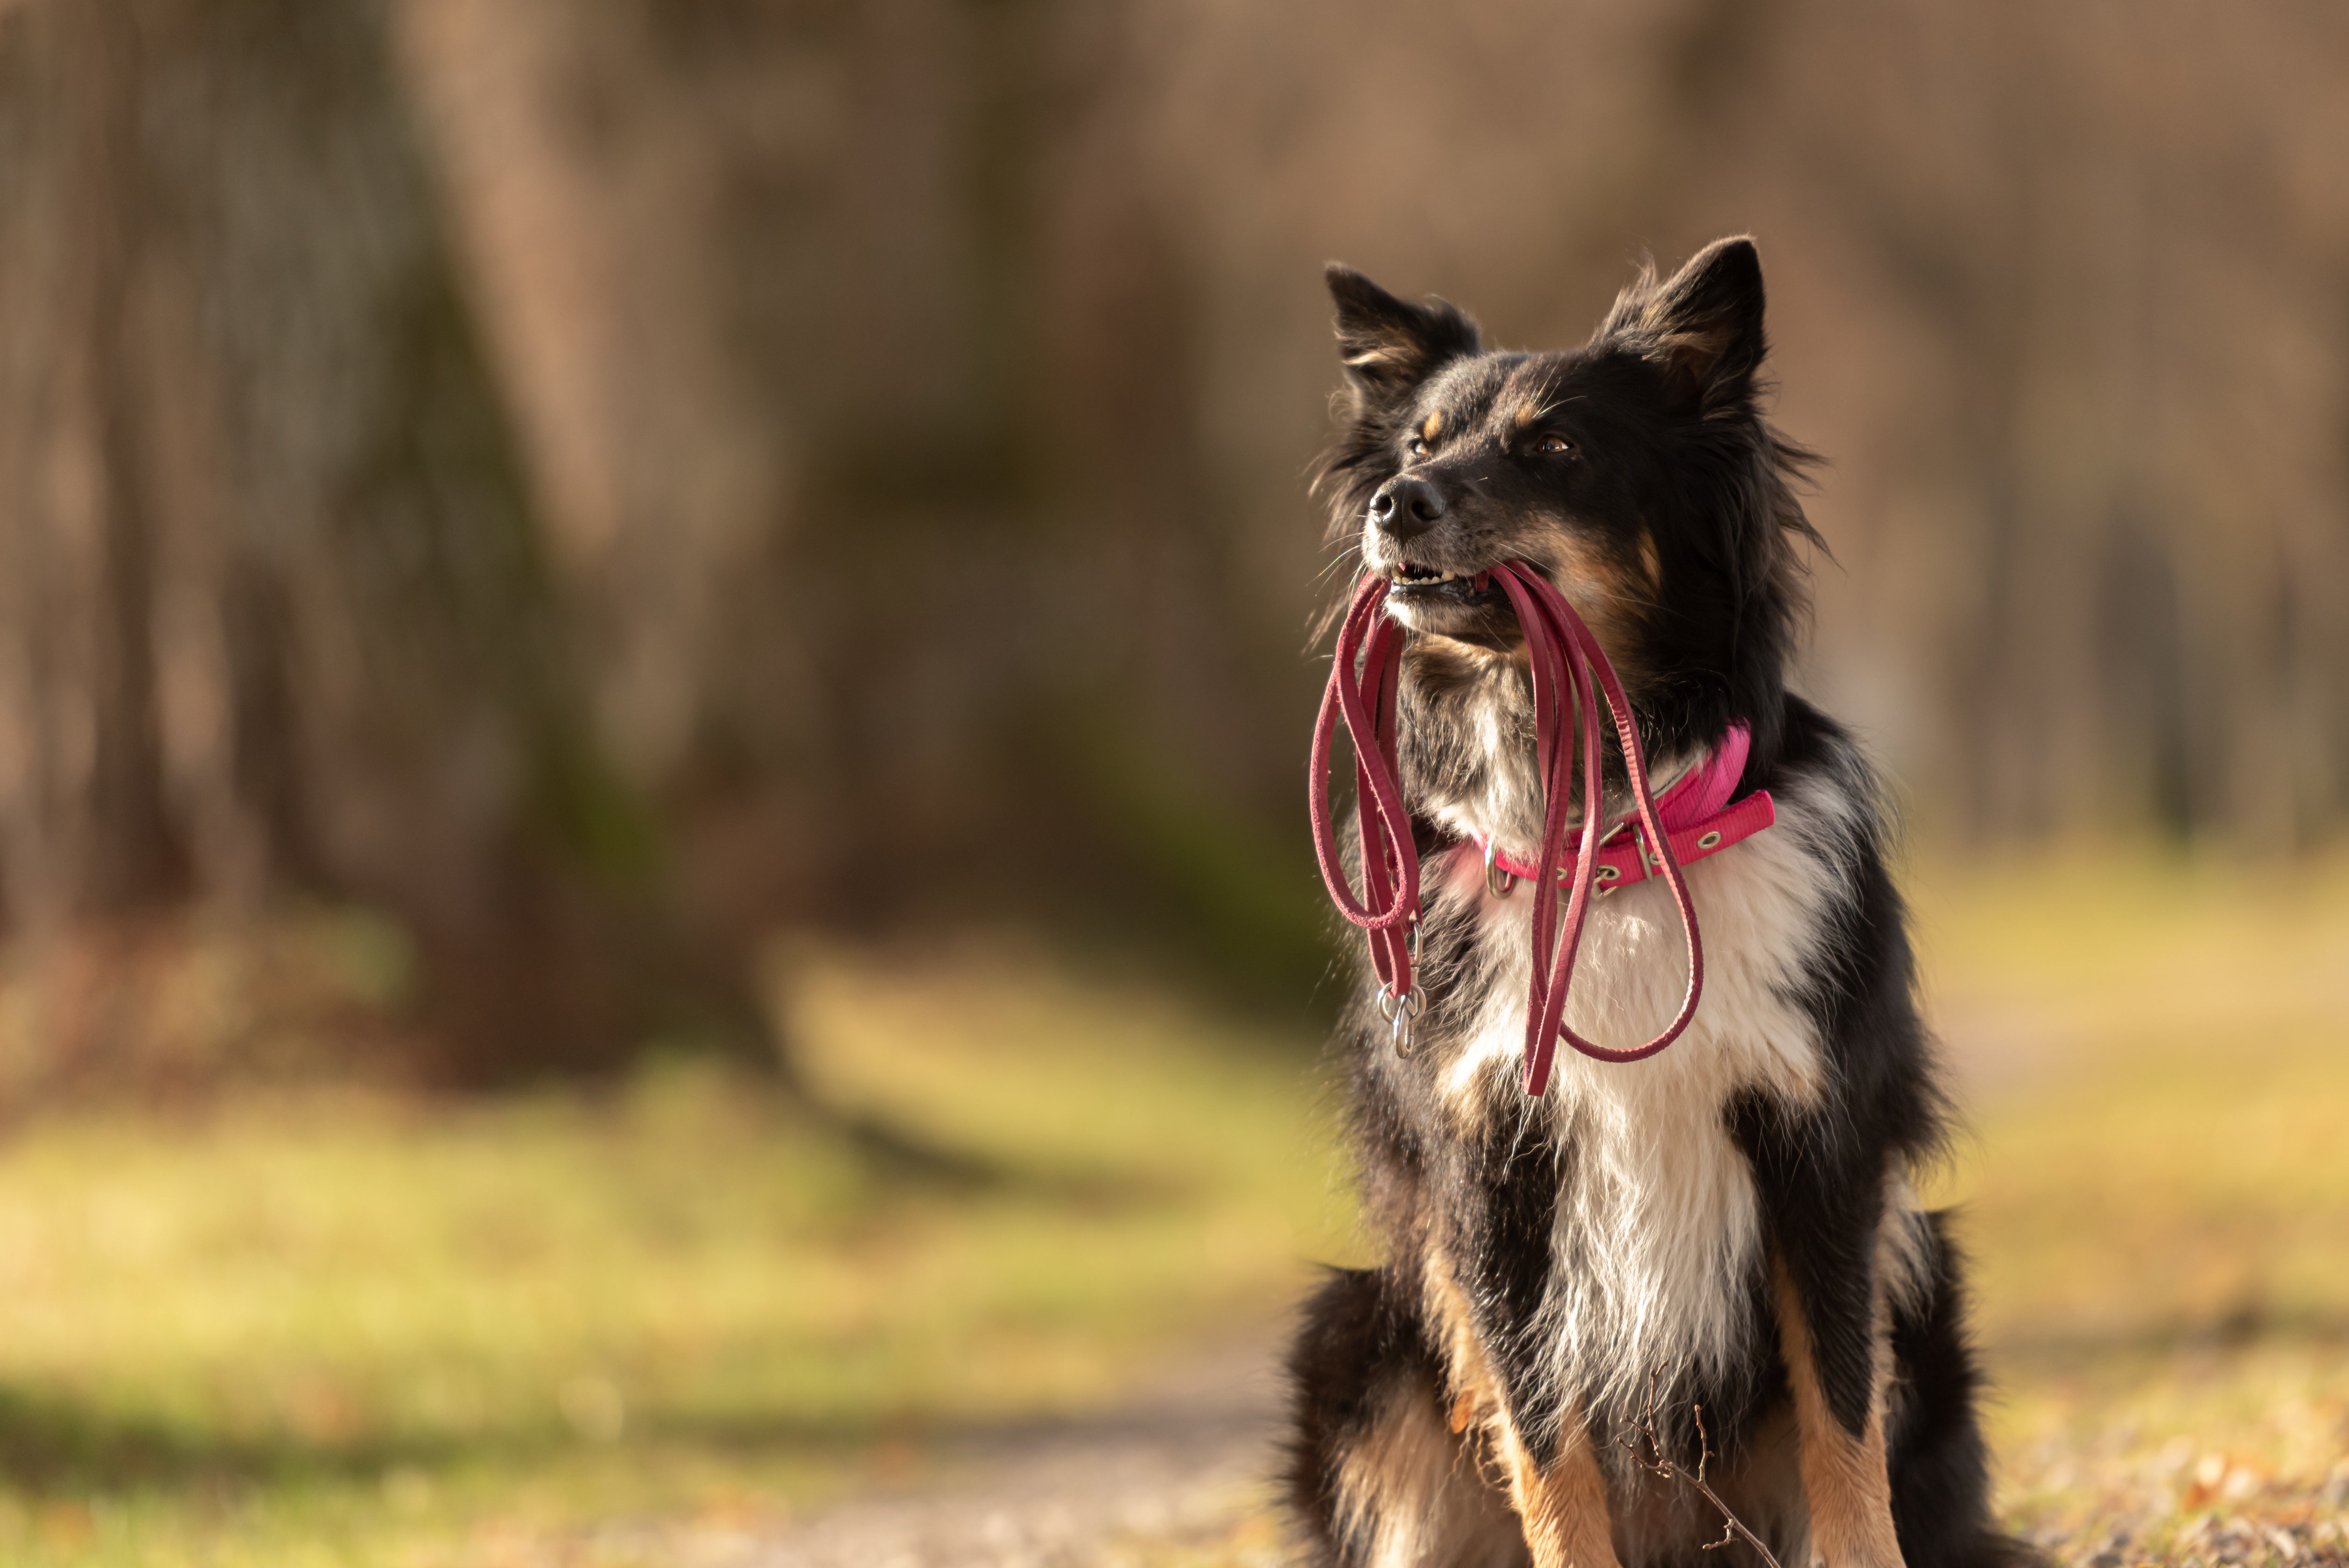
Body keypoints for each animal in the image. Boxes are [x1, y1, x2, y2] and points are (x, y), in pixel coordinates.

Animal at [1277, 236, 2029, 1568]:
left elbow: (1843, 1423)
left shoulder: (1818, 1152)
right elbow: (1548, 1447)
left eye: (1555, 447)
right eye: (1418, 444)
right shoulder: (1491, 1176)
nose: (1395, 504)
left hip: (1928, 1282)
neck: (1609, 857)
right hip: (1354, 1338)